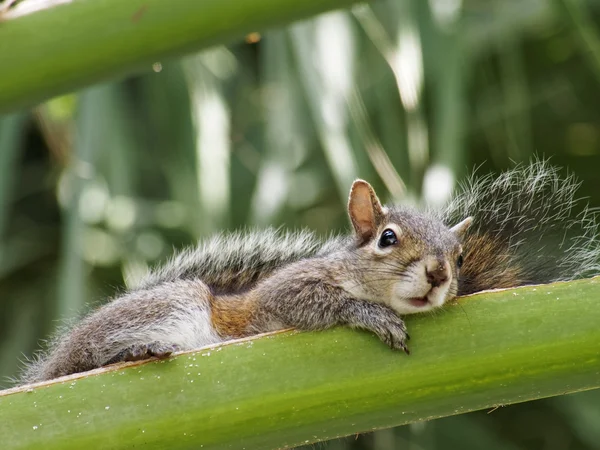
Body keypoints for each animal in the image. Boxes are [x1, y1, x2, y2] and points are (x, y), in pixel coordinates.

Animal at [17, 162, 600, 384]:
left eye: (459, 257)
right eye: (388, 239)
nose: (438, 274)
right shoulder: (279, 295)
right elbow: (316, 303)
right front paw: (370, 315)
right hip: (168, 305)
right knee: (86, 363)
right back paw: (132, 352)